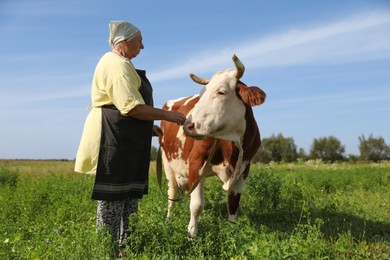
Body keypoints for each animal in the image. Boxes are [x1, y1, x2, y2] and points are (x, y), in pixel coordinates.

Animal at [158, 54, 266, 238]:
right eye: (201, 95)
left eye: (221, 92)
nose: (188, 125)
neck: (232, 144)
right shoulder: (195, 164)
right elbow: (196, 205)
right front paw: (192, 234)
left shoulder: (244, 169)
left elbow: (233, 204)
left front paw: (232, 233)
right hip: (167, 162)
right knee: (171, 193)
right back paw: (168, 221)